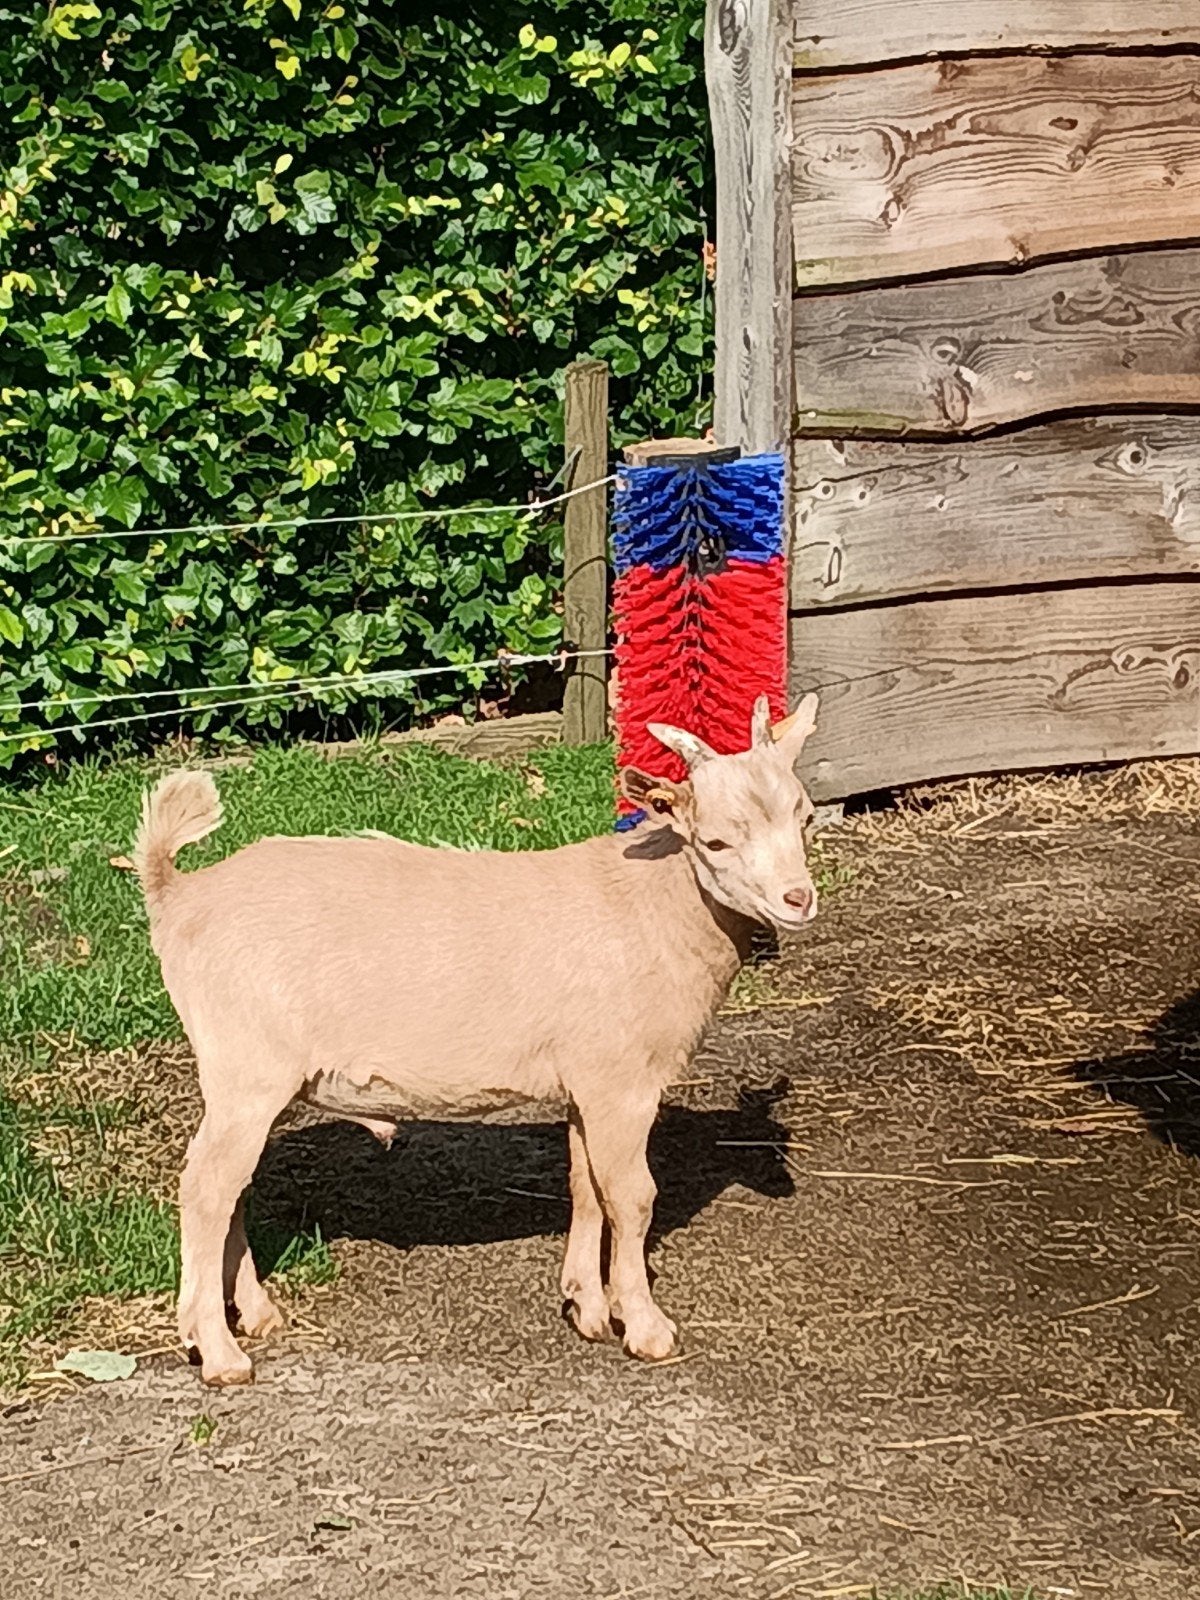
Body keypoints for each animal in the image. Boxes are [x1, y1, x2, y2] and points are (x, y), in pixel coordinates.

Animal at [134, 693, 821, 1385]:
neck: (653, 906)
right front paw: (646, 1328)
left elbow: (586, 1187)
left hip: (252, 1081)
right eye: (715, 839)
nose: (799, 899)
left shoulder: (587, 1081)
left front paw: (586, 1306)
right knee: (206, 1189)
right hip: (247, 1066)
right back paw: (218, 1351)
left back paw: (255, 1314)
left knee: (232, 1188)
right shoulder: (622, 1082)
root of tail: (177, 894)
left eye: (806, 817)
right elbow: (632, 1198)